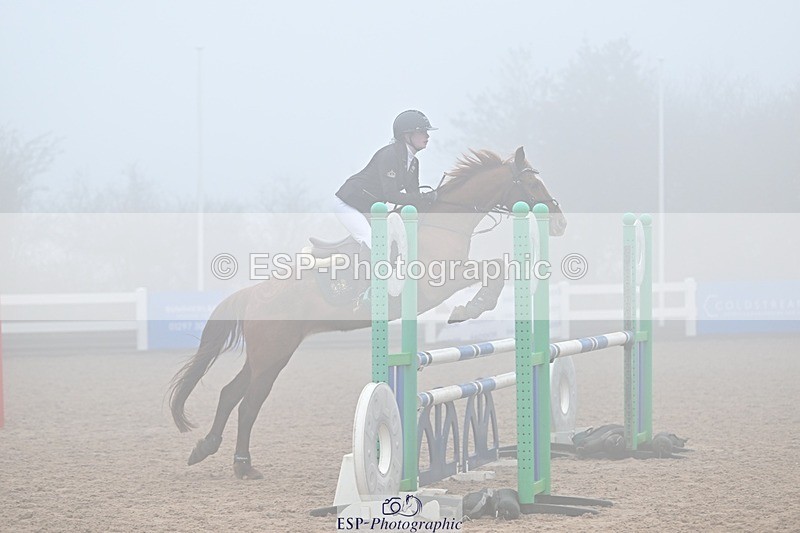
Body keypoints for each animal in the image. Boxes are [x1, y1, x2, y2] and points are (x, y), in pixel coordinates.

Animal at [168, 146, 567, 479]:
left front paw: (472, 306)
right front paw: (470, 307)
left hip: (268, 354)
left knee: (229, 393)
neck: (444, 223)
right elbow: (492, 269)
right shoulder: (440, 281)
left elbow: (494, 267)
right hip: (272, 354)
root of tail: (252, 294)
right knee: (248, 404)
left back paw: (207, 449)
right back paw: (243, 466)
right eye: (532, 182)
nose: (560, 222)